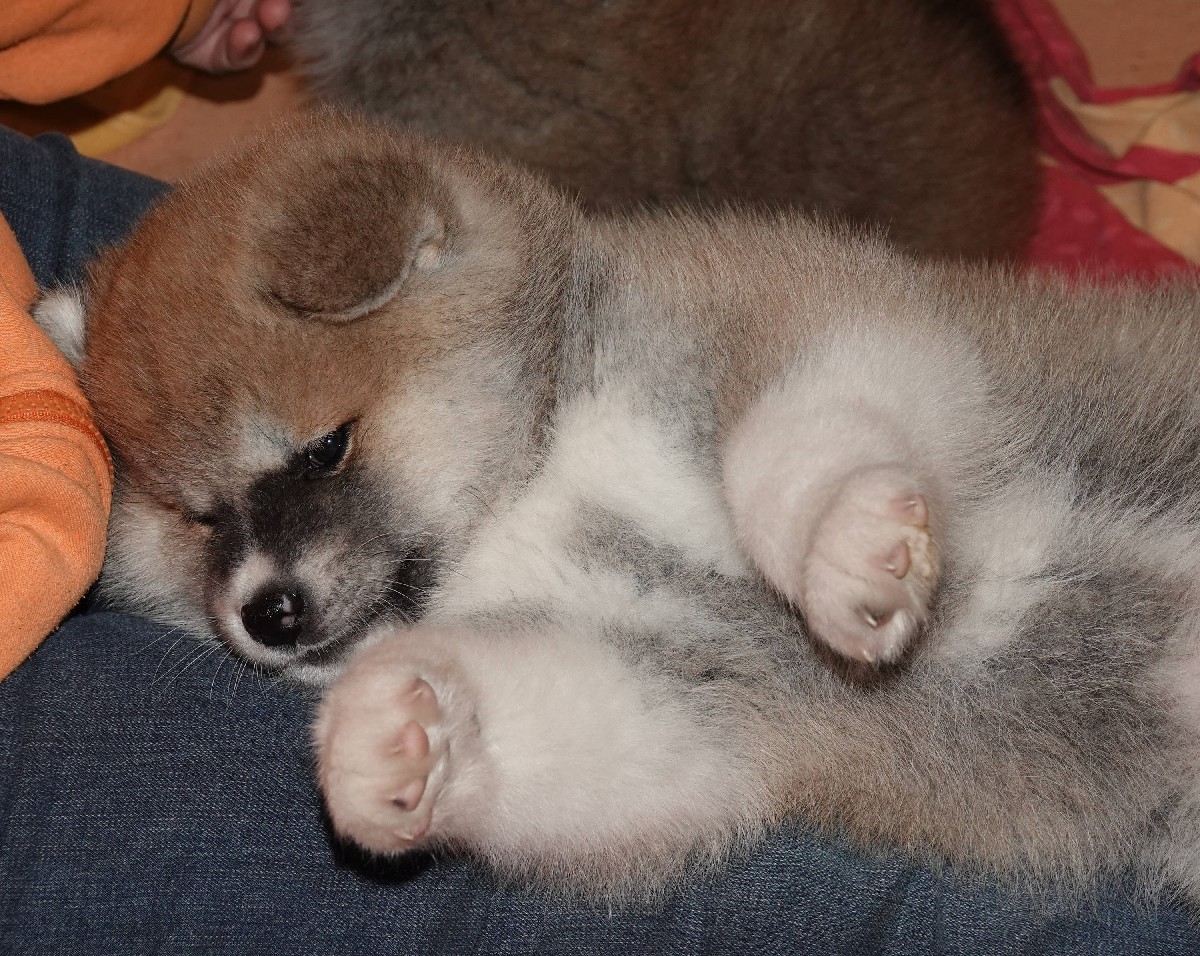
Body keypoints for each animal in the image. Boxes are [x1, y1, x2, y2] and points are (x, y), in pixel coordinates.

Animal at [35, 113, 1200, 903]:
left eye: (326, 447)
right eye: (198, 518)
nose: (264, 612)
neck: (542, 473)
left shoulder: (815, 320)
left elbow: (791, 452)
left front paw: (850, 554)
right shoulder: (673, 695)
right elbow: (541, 730)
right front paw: (386, 740)